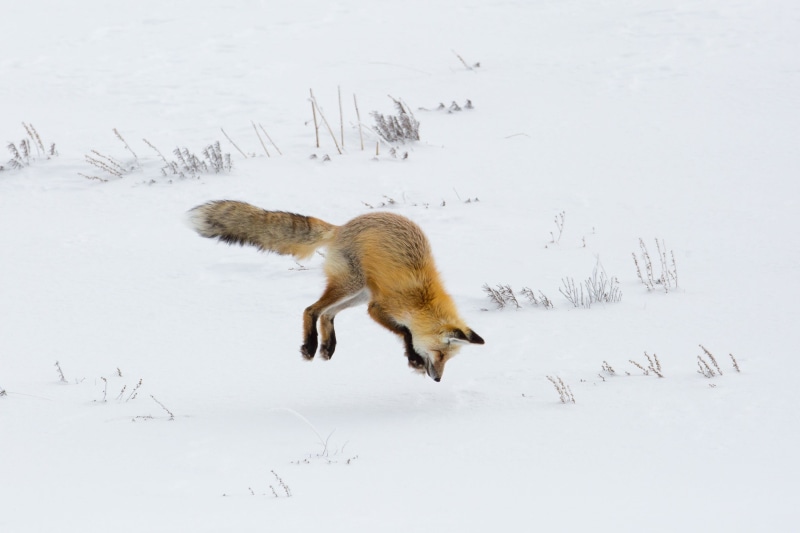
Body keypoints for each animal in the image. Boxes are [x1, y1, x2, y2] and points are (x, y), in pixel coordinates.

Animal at [187, 200, 484, 381]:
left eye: (448, 359)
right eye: (441, 355)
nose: (438, 378)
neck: (422, 299)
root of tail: (341, 228)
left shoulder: (374, 306)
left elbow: (406, 331)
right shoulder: (377, 308)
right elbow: (406, 332)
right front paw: (413, 358)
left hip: (358, 293)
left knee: (328, 314)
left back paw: (327, 347)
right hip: (351, 286)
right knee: (311, 309)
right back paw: (310, 346)